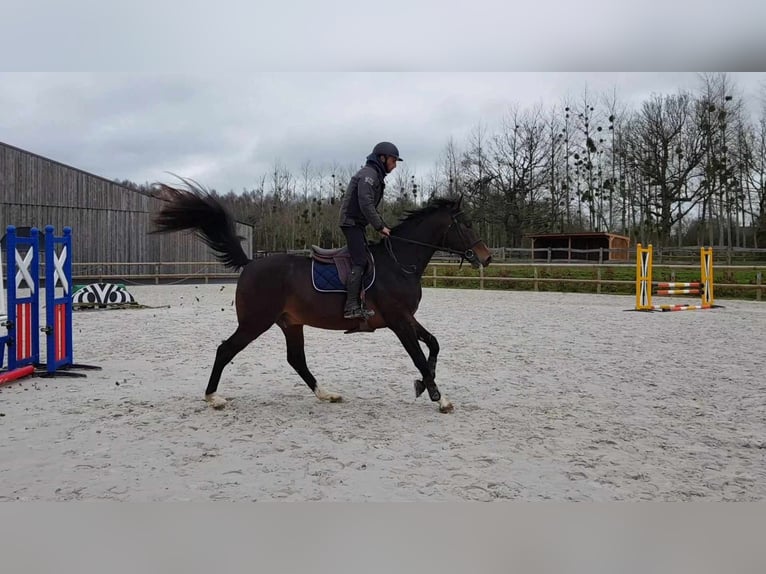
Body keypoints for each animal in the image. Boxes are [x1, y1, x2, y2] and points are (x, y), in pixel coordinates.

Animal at [153, 184, 496, 414]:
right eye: (466, 224)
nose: (487, 257)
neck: (400, 263)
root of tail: (250, 263)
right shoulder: (398, 321)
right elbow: (419, 357)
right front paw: (440, 398)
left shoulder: (406, 318)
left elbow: (433, 345)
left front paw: (424, 386)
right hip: (256, 322)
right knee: (226, 350)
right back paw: (213, 397)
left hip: (290, 323)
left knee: (296, 360)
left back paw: (326, 394)